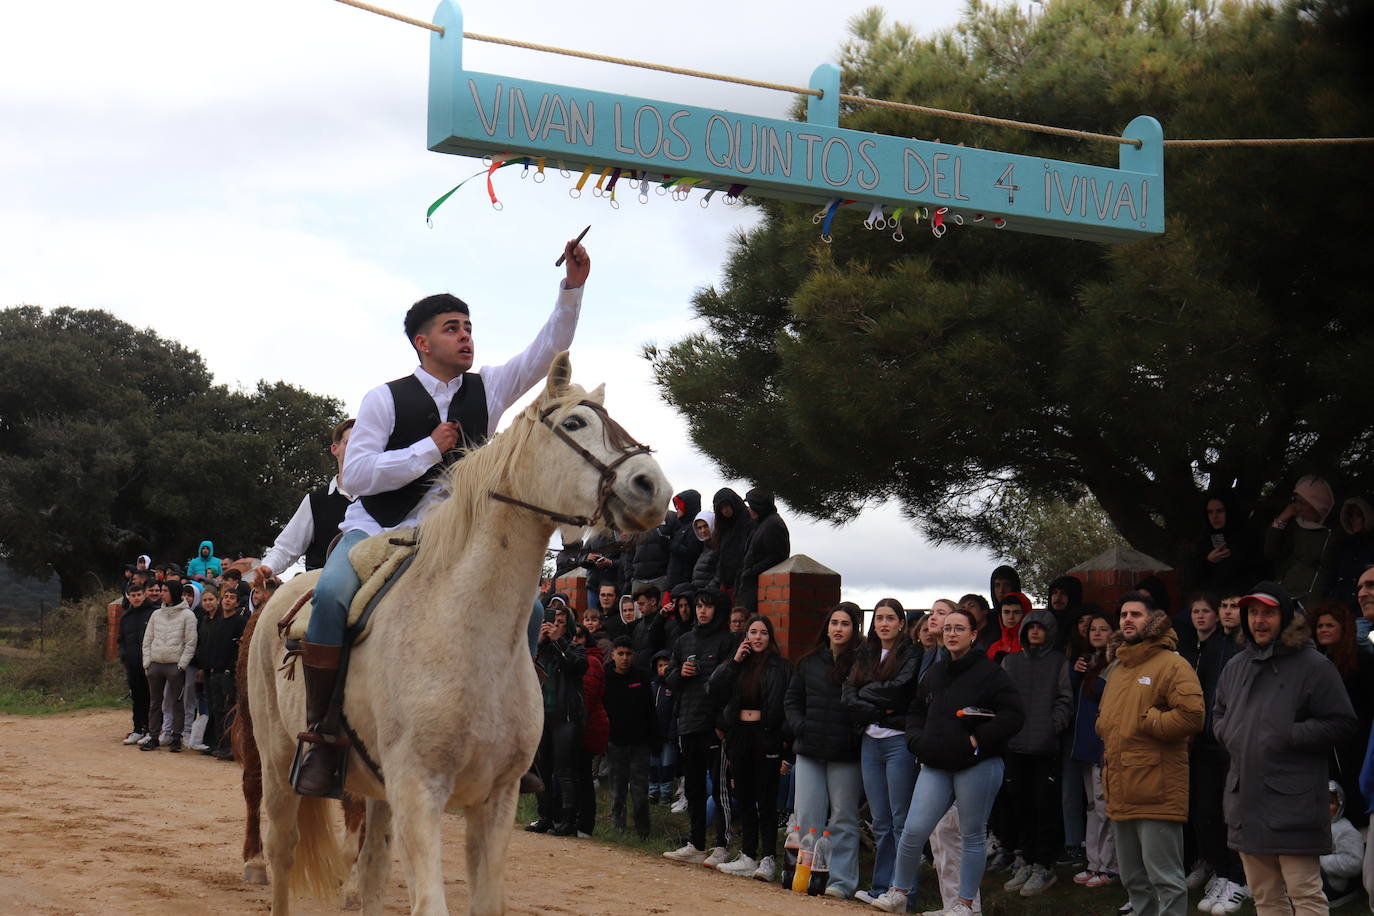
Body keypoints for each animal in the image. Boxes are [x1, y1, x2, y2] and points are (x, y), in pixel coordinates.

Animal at [247, 354, 676, 911]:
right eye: (575, 423)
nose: (653, 488)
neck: (466, 629)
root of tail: (275, 599)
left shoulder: (495, 800)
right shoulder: (419, 792)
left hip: (377, 794)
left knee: (371, 872)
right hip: (280, 765)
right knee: (283, 851)